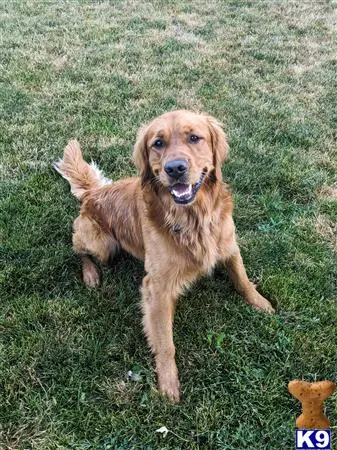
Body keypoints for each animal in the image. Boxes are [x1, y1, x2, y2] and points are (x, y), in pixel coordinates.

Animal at [55, 110, 274, 402]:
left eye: (194, 138)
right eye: (158, 144)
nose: (175, 168)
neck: (193, 218)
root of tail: (93, 192)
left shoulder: (228, 244)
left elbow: (242, 278)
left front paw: (260, 303)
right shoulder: (156, 288)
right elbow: (165, 342)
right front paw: (168, 384)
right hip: (102, 245)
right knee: (79, 250)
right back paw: (90, 274)